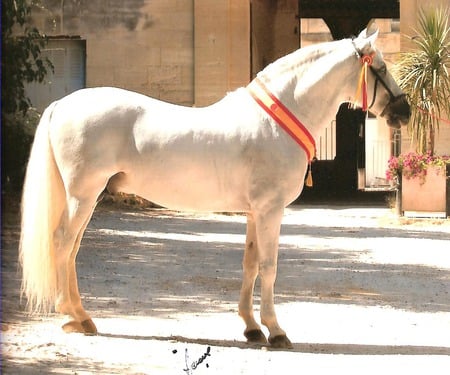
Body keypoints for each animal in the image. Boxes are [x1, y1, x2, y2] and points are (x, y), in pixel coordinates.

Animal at [20, 29, 408, 350]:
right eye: (381, 67)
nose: (404, 110)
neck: (276, 120)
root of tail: (62, 104)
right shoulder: (270, 211)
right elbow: (269, 266)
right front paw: (276, 331)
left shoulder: (254, 212)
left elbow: (250, 264)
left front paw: (251, 328)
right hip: (82, 196)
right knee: (61, 242)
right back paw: (71, 314)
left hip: (88, 197)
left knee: (71, 250)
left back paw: (83, 318)